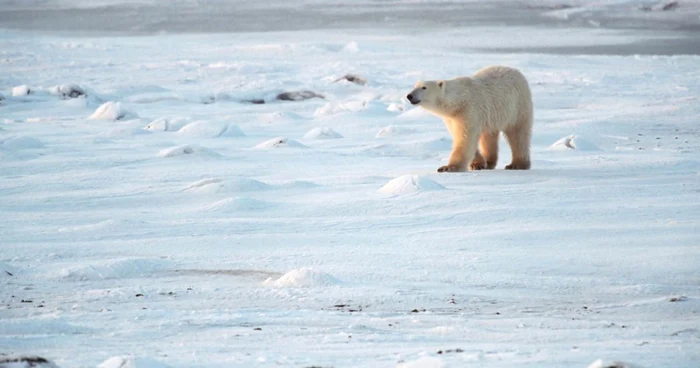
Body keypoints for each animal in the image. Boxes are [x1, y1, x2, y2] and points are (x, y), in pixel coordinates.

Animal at [404, 66, 532, 172]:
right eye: (414, 86)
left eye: (424, 87)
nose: (409, 96)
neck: (457, 101)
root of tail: (516, 71)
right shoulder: (452, 118)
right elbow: (462, 135)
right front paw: (478, 164)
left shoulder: (468, 110)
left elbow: (465, 138)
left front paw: (448, 167)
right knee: (489, 135)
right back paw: (489, 161)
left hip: (517, 105)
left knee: (518, 134)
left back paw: (517, 164)